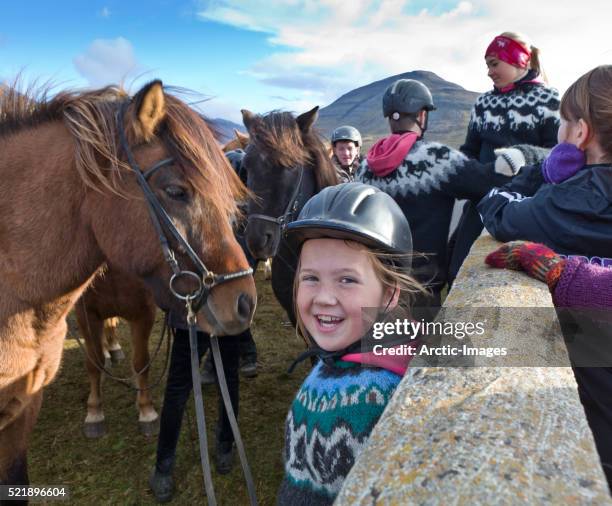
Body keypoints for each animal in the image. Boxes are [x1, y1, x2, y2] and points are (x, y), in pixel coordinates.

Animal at [0, 79, 256, 486]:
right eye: (176, 191)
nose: (245, 301)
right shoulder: (86, 316)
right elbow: (93, 363)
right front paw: (95, 412)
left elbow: (140, 362)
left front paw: (146, 410)